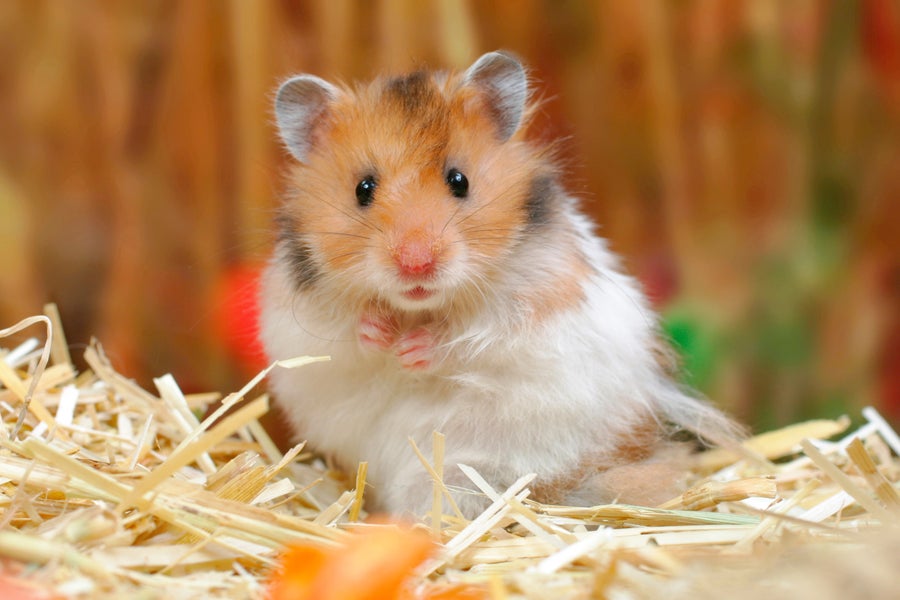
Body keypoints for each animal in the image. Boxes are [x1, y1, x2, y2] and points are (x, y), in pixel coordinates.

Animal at [260, 51, 739, 518]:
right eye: (363, 188)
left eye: (459, 181)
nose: (416, 264)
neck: (420, 307)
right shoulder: (299, 325)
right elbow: (348, 338)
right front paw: (381, 334)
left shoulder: (535, 308)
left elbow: (473, 341)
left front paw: (412, 350)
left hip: (477, 473)